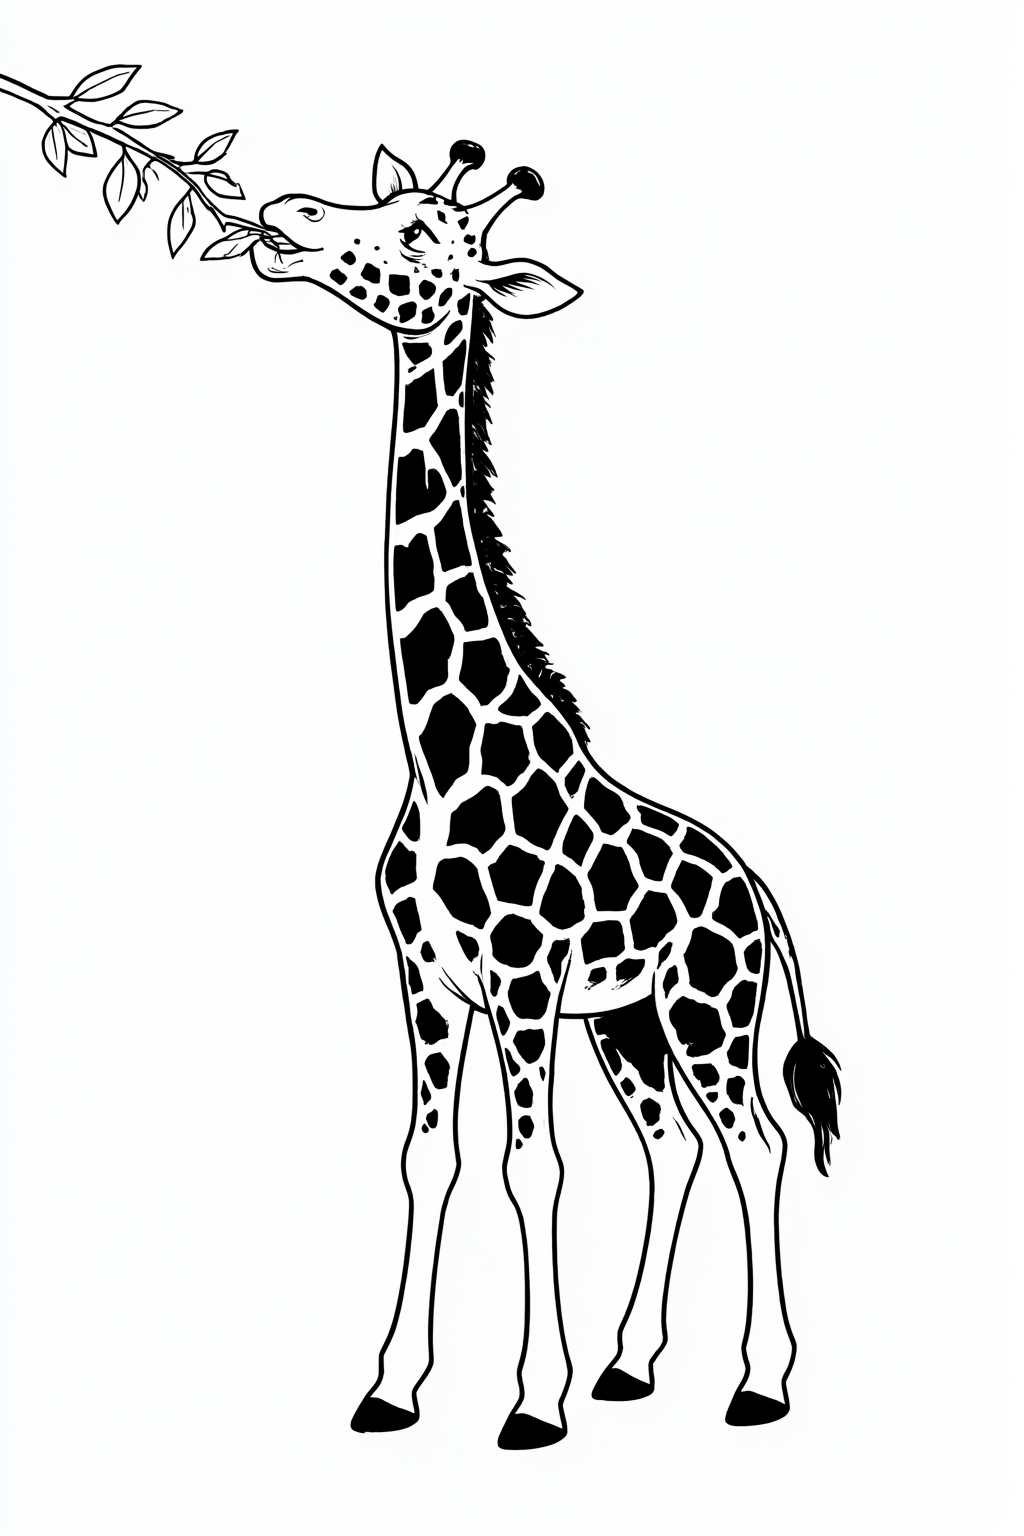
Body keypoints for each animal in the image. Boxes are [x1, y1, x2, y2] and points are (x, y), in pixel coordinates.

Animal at [251, 140, 841, 1451]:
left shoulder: (522, 983)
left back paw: (758, 1383)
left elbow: (537, 1169)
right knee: (673, 1149)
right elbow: (429, 1162)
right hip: (629, 1023)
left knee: (756, 1144)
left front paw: (531, 1403)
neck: (438, 756)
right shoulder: (427, 979)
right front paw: (392, 1389)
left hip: (706, 1011)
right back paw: (630, 1365)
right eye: (380, 201)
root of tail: (757, 889)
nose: (287, 215)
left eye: (423, 234)